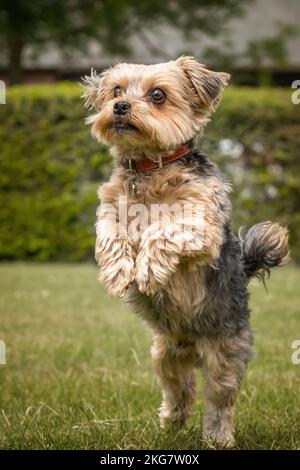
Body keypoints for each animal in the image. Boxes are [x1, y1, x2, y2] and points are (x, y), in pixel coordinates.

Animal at [81, 57, 288, 446]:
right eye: (116, 90)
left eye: (157, 95)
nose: (120, 106)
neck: (151, 168)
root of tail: (193, 345)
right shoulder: (110, 209)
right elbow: (110, 233)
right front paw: (117, 271)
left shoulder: (201, 226)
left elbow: (163, 230)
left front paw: (147, 269)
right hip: (165, 355)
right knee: (181, 389)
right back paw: (170, 425)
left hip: (225, 355)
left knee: (219, 401)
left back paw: (218, 437)